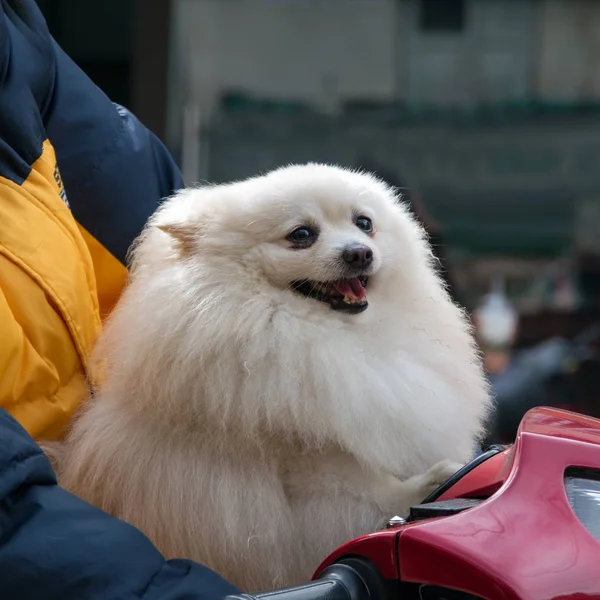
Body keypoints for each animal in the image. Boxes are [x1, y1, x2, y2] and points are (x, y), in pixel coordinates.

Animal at [50, 163, 492, 592]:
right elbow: (380, 500)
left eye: (364, 223)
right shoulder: (314, 476)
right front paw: (434, 482)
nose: (359, 253)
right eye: (301, 235)